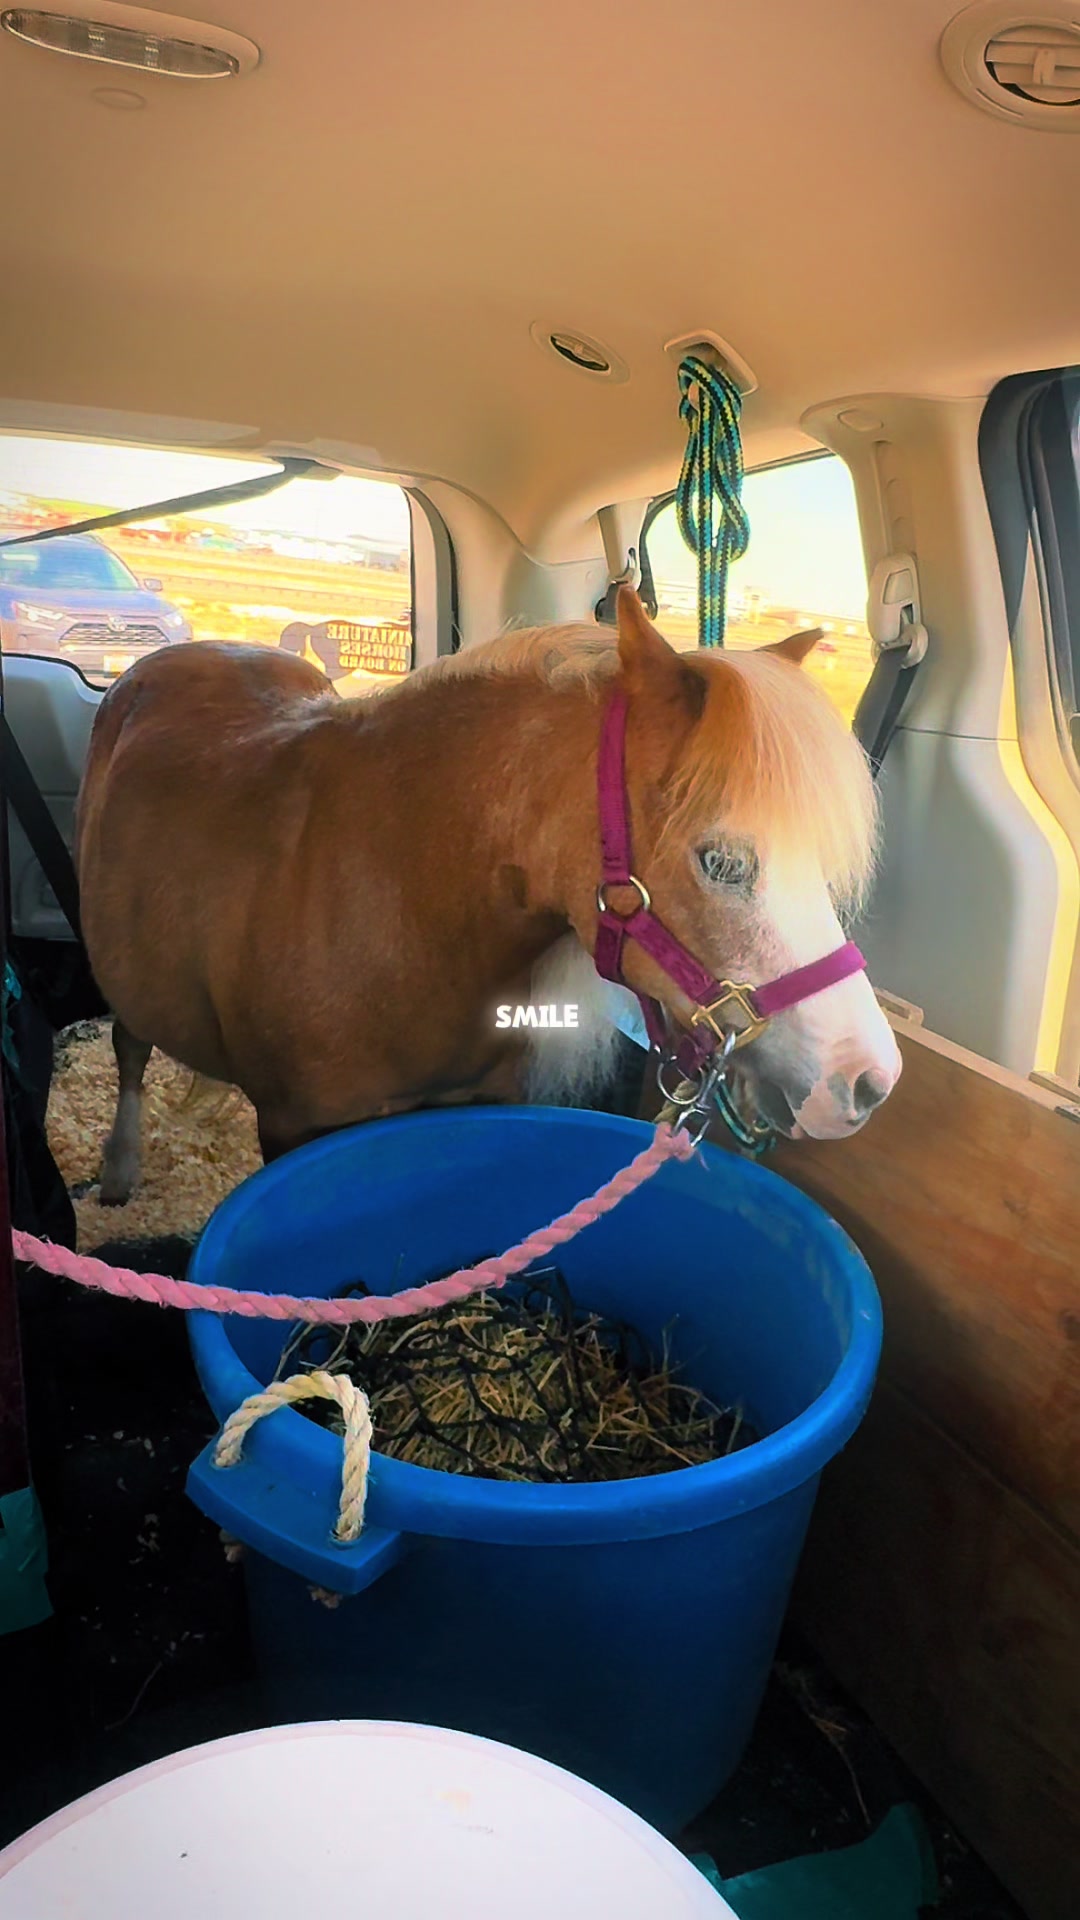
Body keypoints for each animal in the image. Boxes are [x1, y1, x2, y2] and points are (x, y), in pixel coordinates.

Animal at [74, 587, 900, 1204]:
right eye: (722, 861)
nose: (868, 1081)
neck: (396, 899)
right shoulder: (289, 1128)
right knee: (129, 1046)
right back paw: (118, 1167)